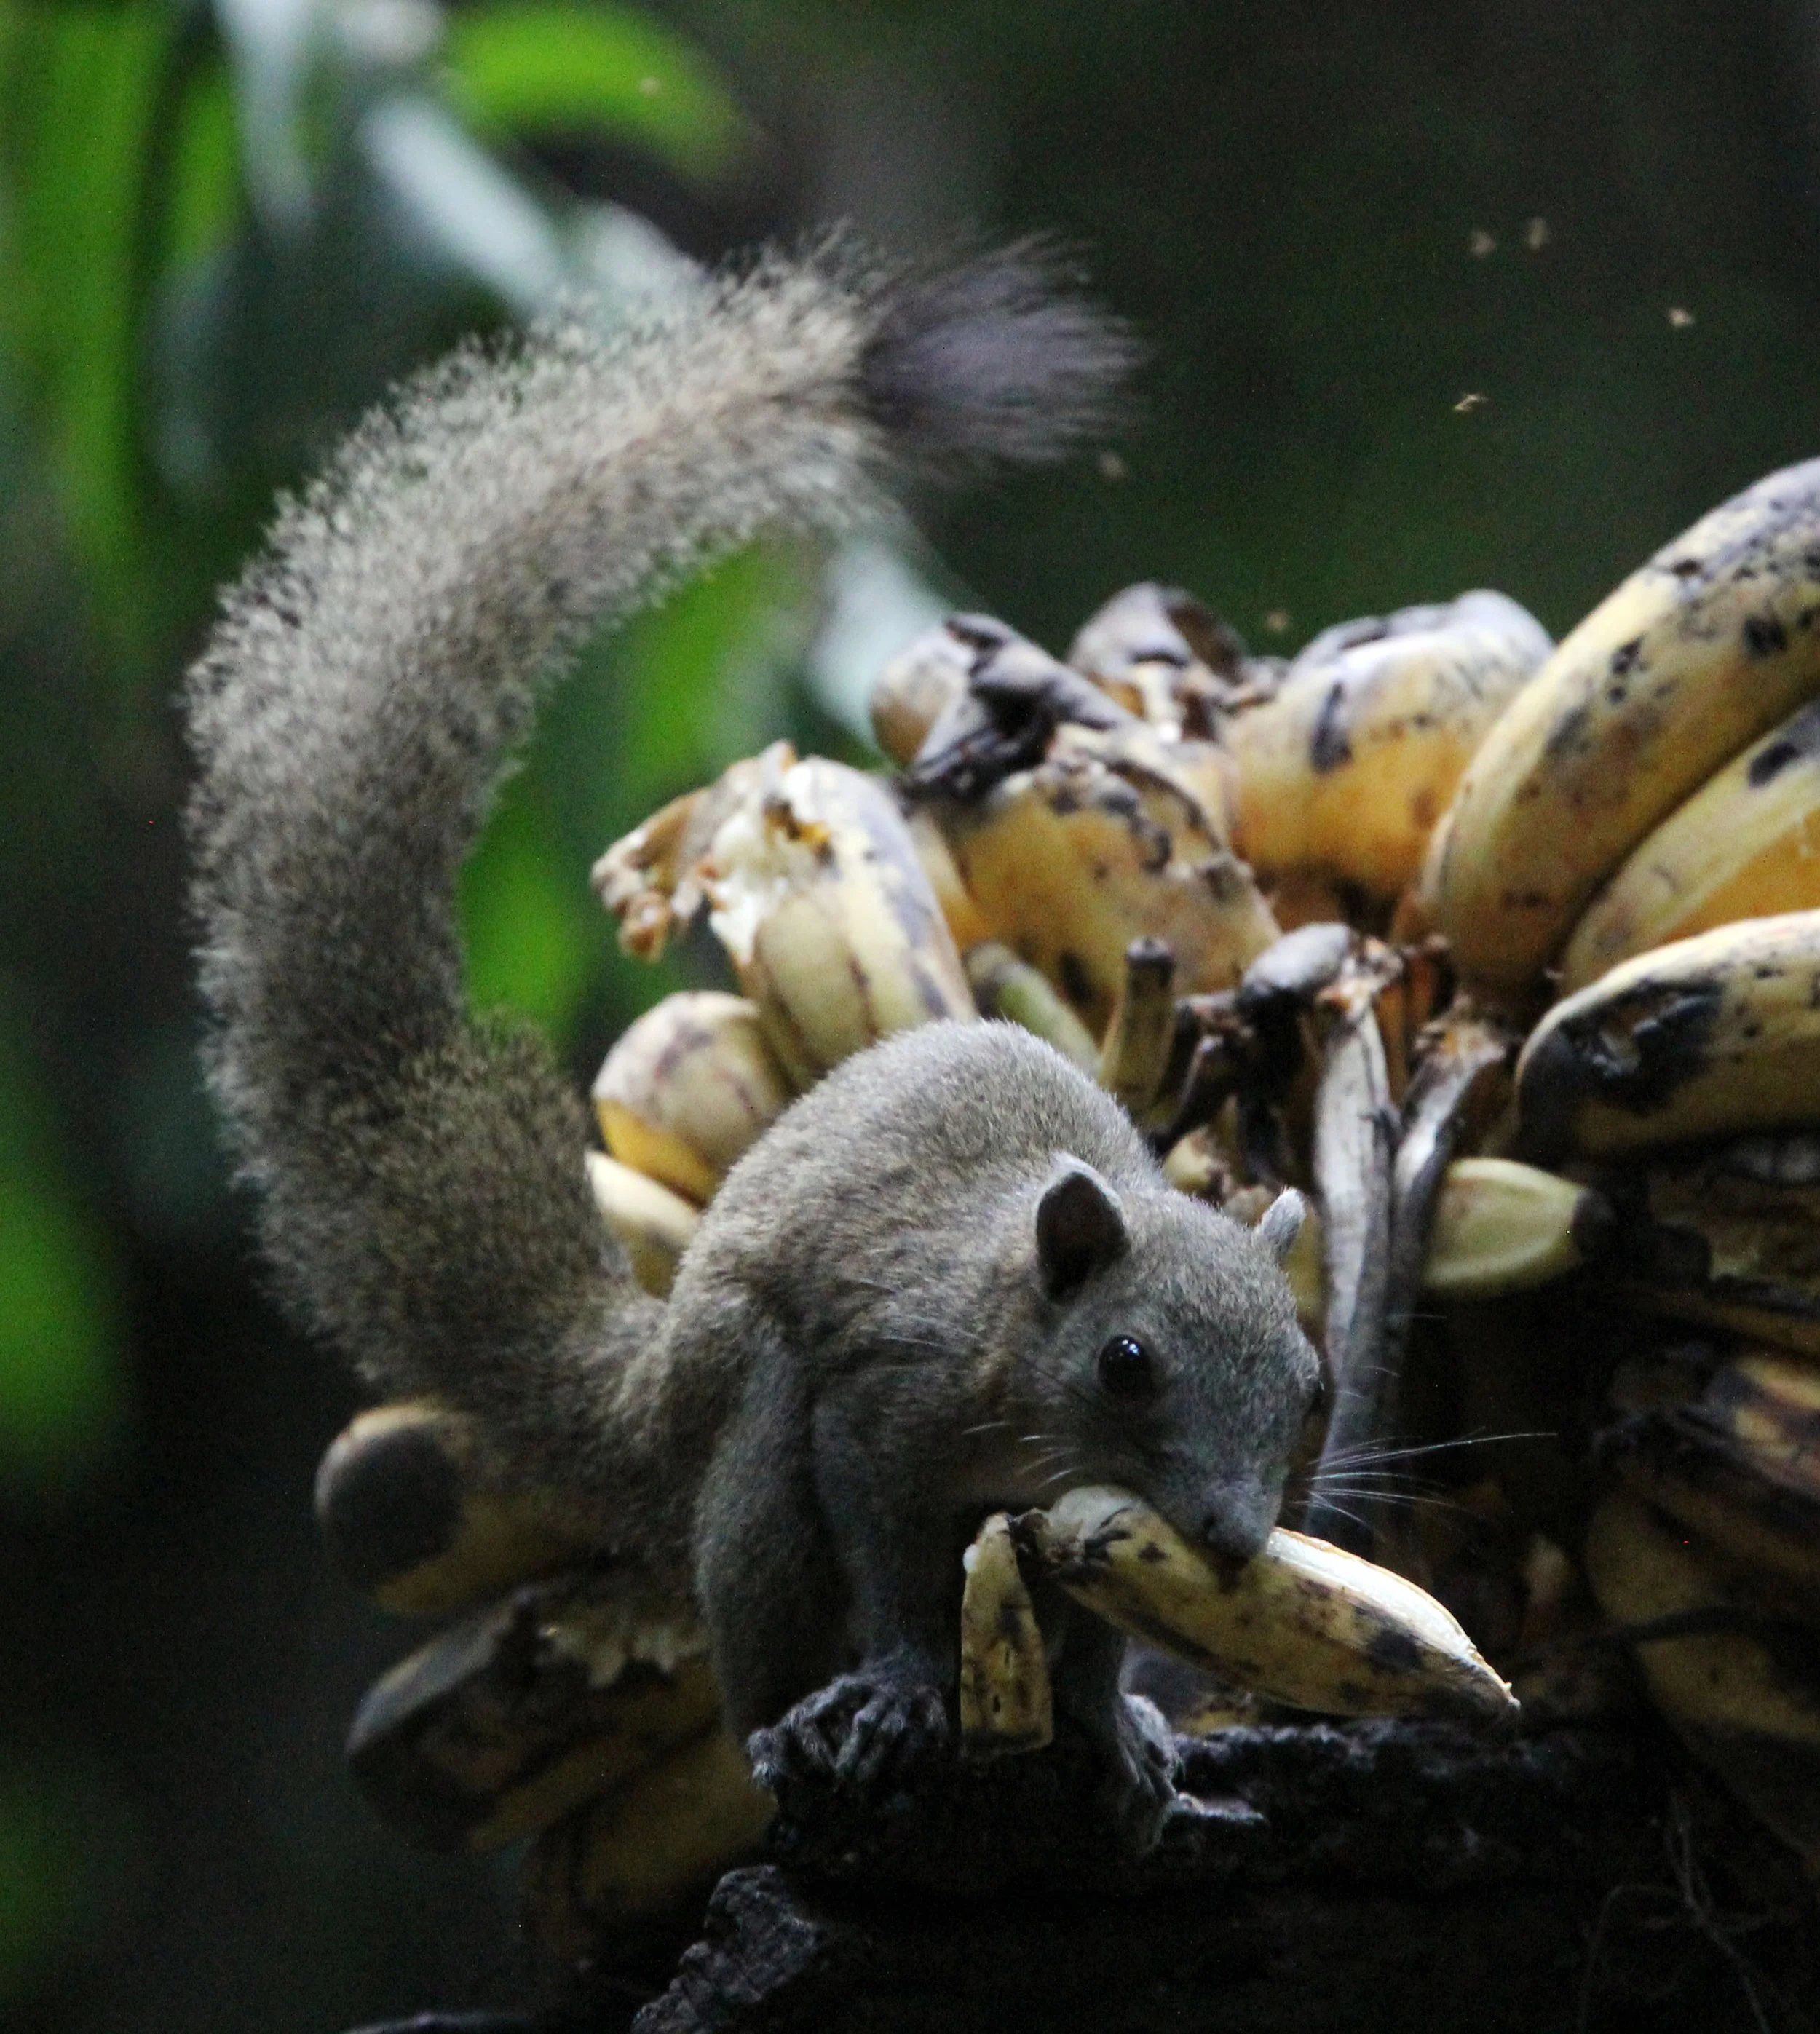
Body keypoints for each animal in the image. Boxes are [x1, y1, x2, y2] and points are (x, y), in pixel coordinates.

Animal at [183, 237, 1322, 1848]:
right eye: (1126, 1359)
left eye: (1308, 1380)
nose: (1227, 1538)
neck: (1009, 1324)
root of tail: (651, 1387)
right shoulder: (881, 1398)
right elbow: (896, 1559)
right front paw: (907, 1678)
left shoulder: (1094, 1540)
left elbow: (1099, 1628)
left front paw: (1114, 1726)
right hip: (754, 1445)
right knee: (767, 1621)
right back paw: (805, 1728)